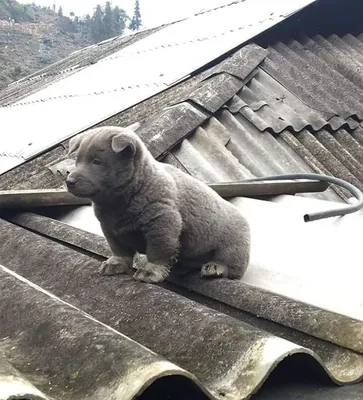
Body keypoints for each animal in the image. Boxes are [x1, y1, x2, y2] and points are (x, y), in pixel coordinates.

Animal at [66, 126, 250, 282]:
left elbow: (158, 251)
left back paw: (214, 268)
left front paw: (150, 272)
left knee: (231, 268)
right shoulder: (109, 228)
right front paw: (115, 264)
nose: (69, 181)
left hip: (233, 249)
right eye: (77, 160)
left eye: (97, 161)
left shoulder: (162, 223)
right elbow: (119, 249)